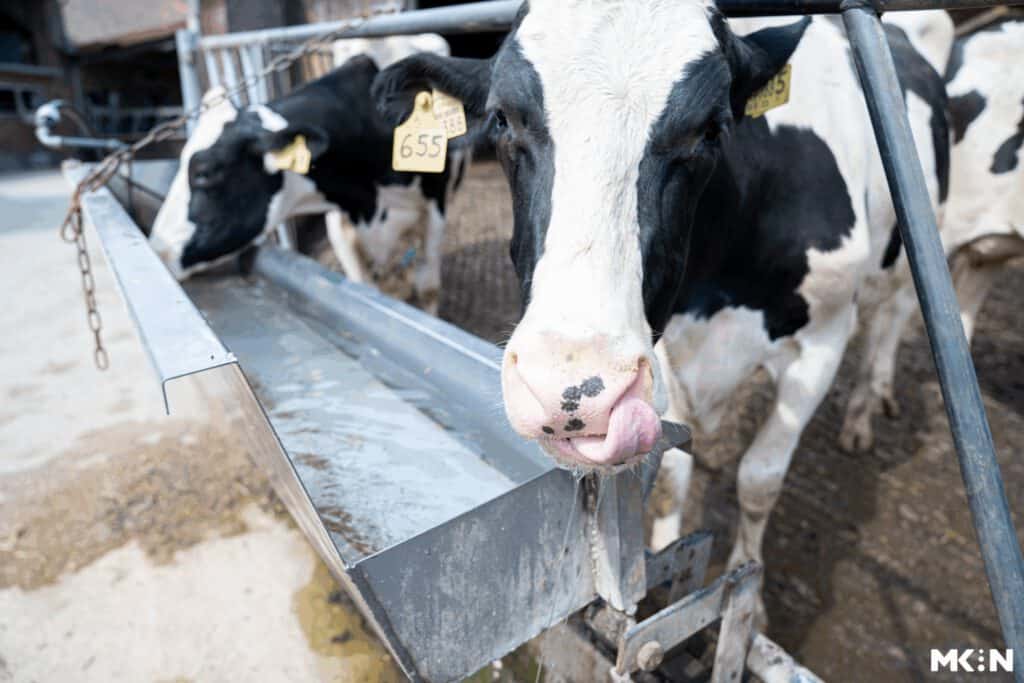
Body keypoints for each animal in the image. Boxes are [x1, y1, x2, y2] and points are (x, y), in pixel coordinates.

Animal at [150, 36, 468, 314]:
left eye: (204, 173)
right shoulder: (340, 218)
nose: (158, 249)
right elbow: (363, 285)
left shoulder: (435, 207)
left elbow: (428, 288)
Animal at [373, 1, 949, 627]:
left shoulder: (824, 335)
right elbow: (674, 473)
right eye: (502, 119)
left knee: (889, 322)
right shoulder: (664, 349)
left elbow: (759, 479)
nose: (572, 396)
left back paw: (865, 413)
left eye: (712, 129)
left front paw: (751, 601)